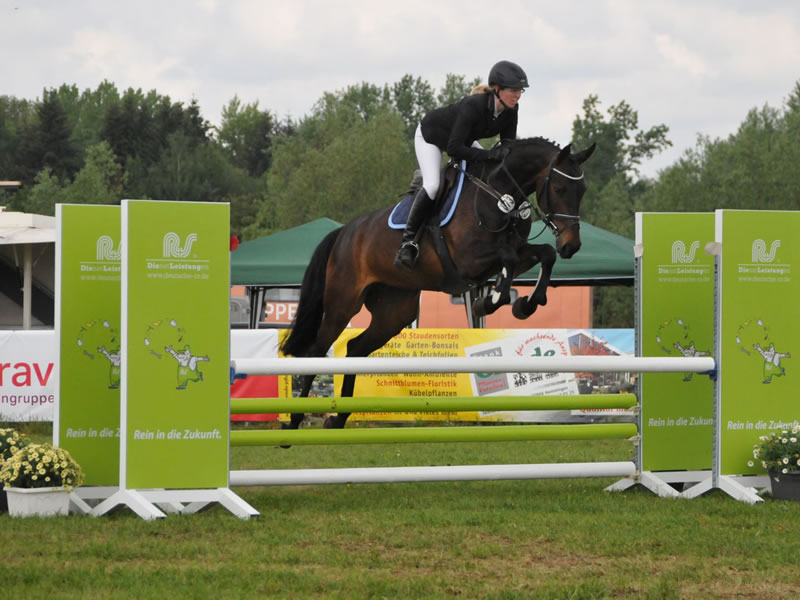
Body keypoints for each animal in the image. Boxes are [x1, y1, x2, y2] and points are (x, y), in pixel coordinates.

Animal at [278, 137, 592, 426]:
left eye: (583, 191)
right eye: (559, 188)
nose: (572, 246)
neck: (499, 193)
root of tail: (344, 233)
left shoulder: (517, 252)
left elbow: (543, 254)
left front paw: (525, 304)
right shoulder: (469, 260)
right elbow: (508, 259)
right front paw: (490, 301)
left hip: (394, 311)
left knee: (355, 349)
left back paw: (338, 418)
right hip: (343, 302)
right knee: (317, 350)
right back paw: (295, 422)